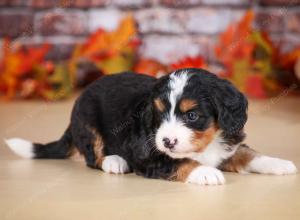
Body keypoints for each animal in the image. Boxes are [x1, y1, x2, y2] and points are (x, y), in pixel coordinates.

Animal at [5, 69, 298, 186]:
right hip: (87, 122)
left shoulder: (228, 141)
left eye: (192, 115)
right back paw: (114, 161)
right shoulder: (148, 154)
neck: (204, 146)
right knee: (93, 156)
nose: (167, 141)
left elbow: (248, 153)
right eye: (159, 115)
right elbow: (179, 162)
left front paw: (279, 163)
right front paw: (205, 172)